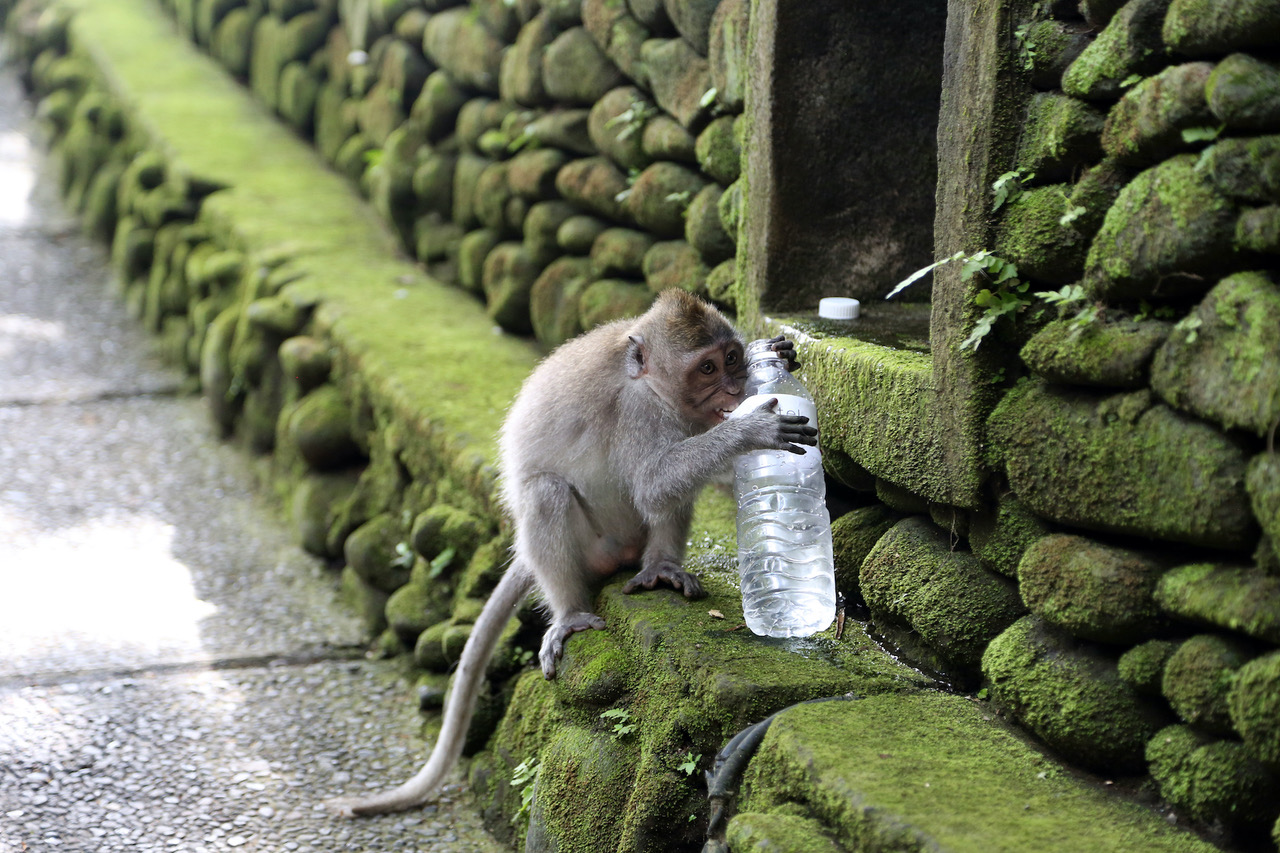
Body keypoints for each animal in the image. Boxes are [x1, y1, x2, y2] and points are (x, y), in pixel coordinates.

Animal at [325, 289, 814, 814]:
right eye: (706, 369)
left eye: (731, 358)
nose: (735, 388)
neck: (648, 380)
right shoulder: (639, 411)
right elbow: (653, 483)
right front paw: (751, 429)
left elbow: (669, 486)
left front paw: (775, 353)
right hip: (594, 546)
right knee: (548, 493)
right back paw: (571, 613)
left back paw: (661, 567)